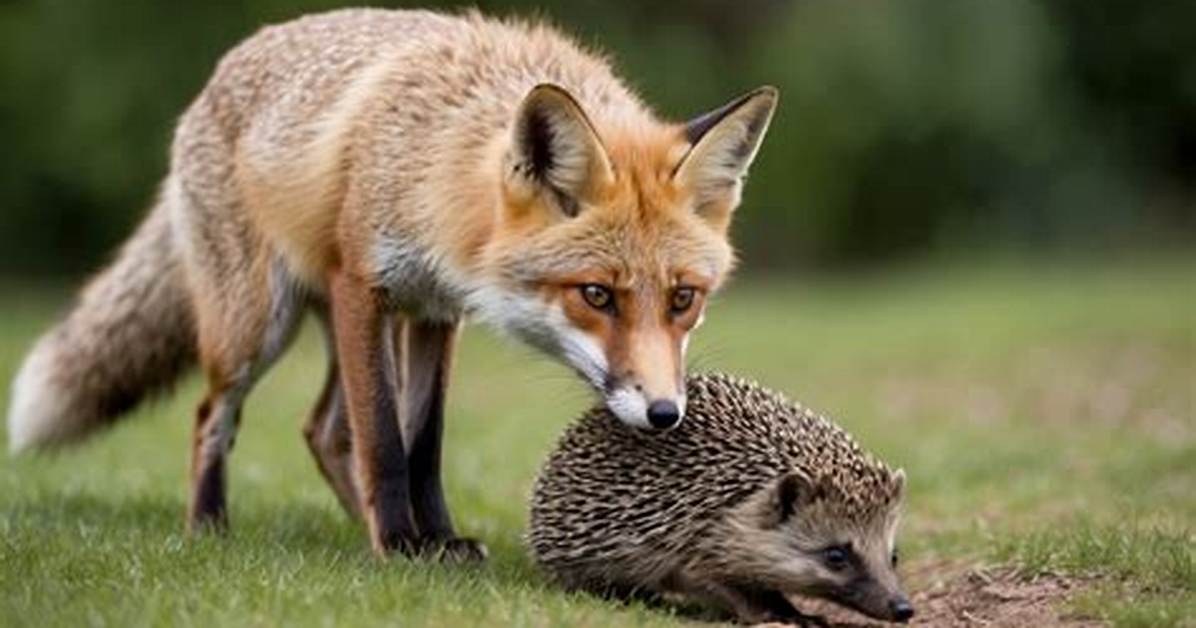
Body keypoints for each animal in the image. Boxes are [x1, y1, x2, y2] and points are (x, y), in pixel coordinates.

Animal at [6, 8, 777, 558]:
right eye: (596, 295)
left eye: (683, 299)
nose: (664, 414)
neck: (434, 166)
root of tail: (221, 70)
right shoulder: (364, 287)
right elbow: (384, 435)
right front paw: (402, 542)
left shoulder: (435, 310)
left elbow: (422, 442)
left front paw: (432, 540)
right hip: (257, 324)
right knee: (212, 417)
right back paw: (211, 526)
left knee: (321, 431)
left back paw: (358, 524)